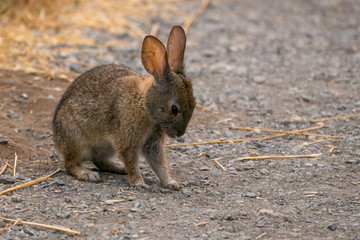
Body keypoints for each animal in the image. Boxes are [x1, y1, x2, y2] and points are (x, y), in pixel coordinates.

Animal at [52, 25, 195, 191]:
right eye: (174, 109)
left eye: (194, 103)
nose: (180, 134)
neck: (144, 105)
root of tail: (57, 136)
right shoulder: (126, 138)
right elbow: (132, 161)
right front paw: (139, 183)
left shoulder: (152, 142)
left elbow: (159, 164)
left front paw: (170, 183)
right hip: (75, 139)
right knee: (70, 163)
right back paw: (88, 175)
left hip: (105, 147)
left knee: (99, 161)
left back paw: (119, 168)